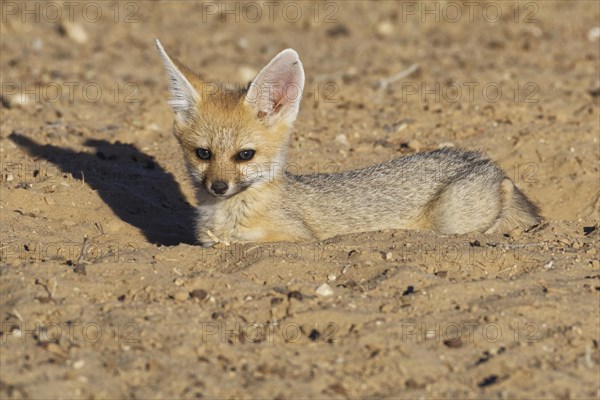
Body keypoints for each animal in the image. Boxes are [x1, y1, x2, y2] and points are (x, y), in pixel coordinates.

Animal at [155, 40, 540, 247]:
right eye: (203, 154)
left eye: (244, 155)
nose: (218, 187)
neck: (226, 217)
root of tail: (487, 164)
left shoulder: (296, 238)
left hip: (454, 219)